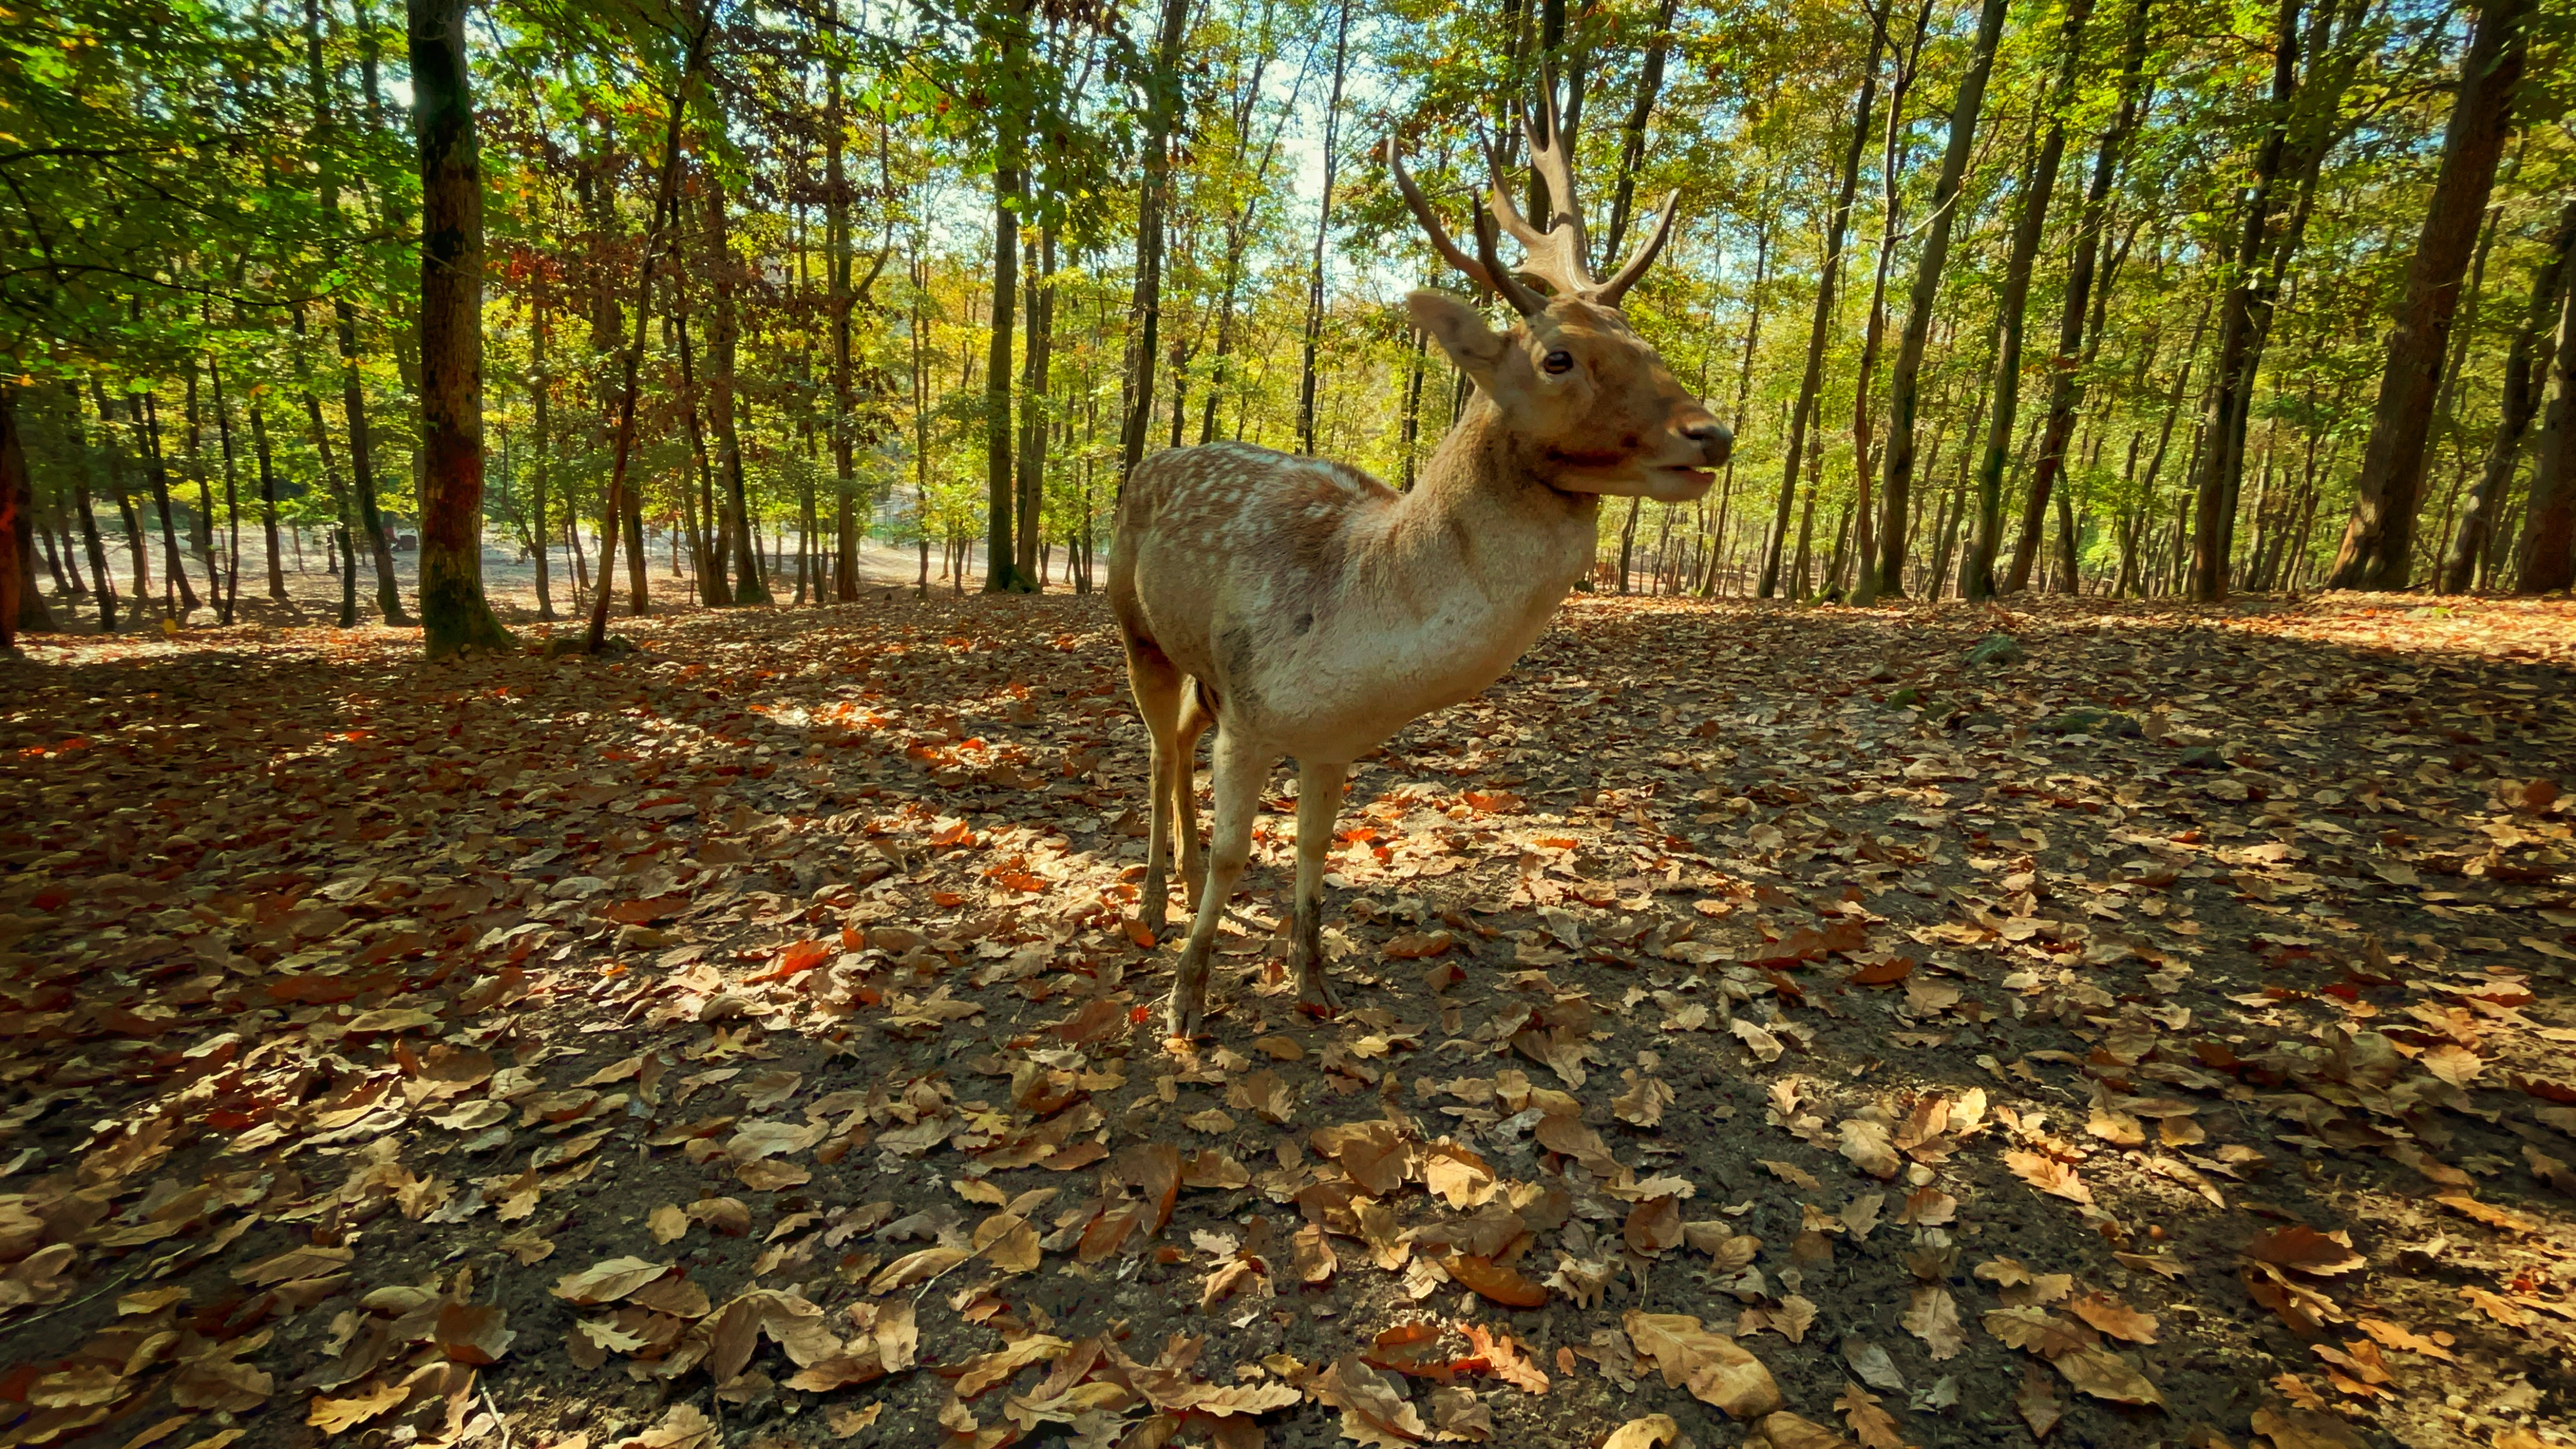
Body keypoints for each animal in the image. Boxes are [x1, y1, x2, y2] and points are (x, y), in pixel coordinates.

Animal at [1110, 79, 1729, 1040]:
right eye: (1559, 357)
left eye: (1647, 347)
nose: (1713, 434)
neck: (1355, 644)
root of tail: (1146, 463)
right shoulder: (1252, 709)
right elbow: (1236, 853)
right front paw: (1187, 999)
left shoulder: (1329, 741)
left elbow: (1315, 846)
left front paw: (1313, 979)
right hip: (1132, 622)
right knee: (1153, 746)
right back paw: (1148, 899)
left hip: (1201, 666)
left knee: (1175, 739)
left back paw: (1169, 874)